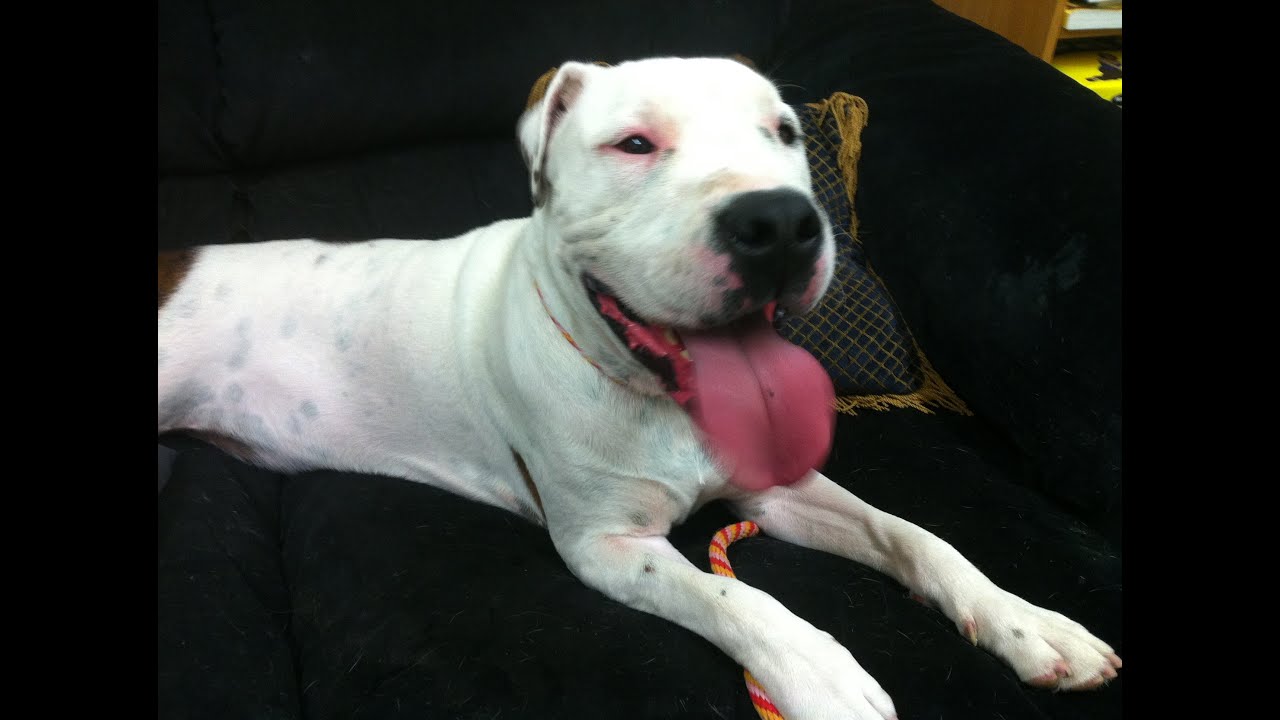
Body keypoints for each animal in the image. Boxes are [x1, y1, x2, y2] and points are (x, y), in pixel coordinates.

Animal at [158, 57, 1120, 719]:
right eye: (634, 145)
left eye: (784, 133)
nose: (780, 222)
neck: (663, 401)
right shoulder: (605, 546)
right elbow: (733, 594)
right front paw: (819, 671)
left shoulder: (775, 491)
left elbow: (915, 536)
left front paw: (1025, 621)